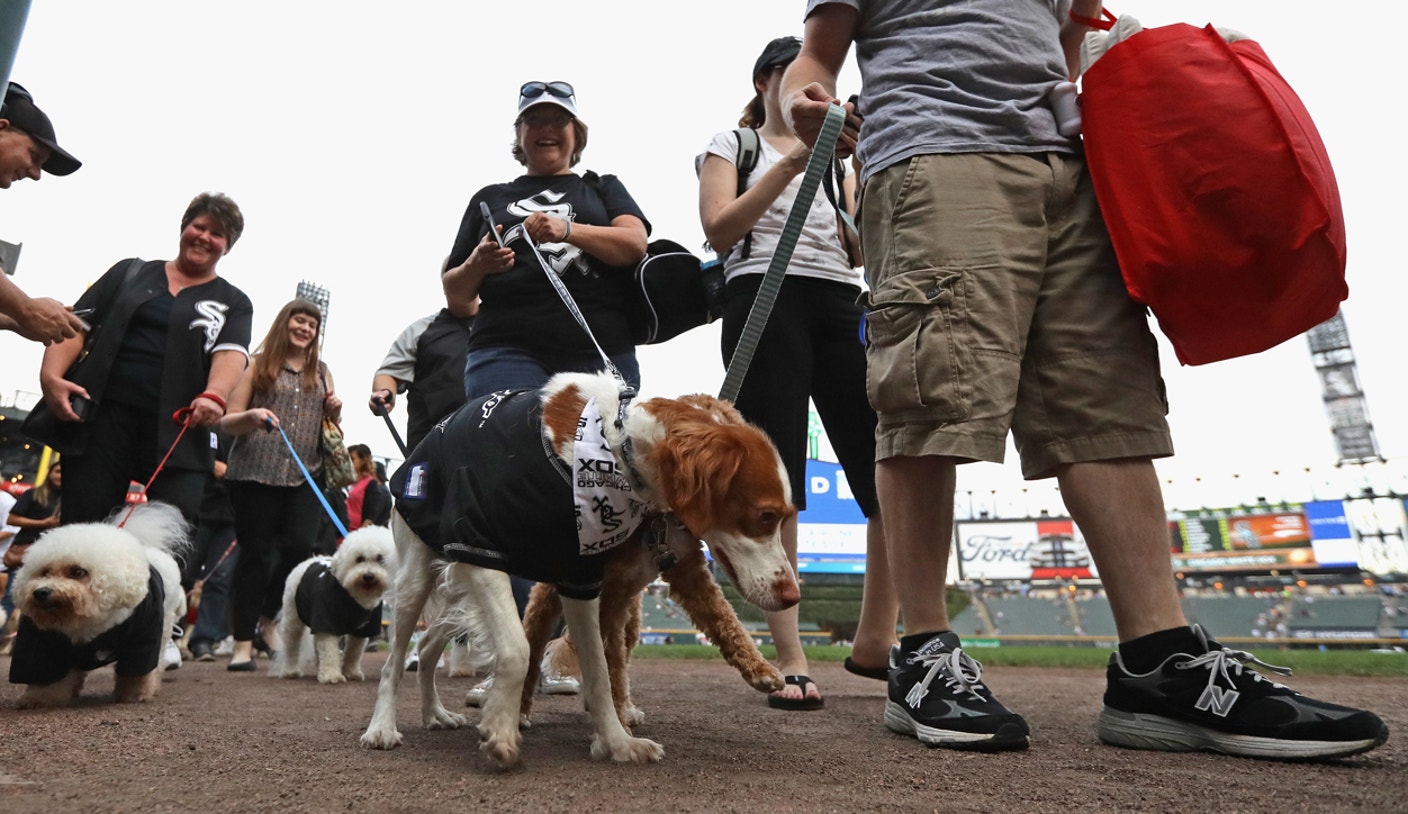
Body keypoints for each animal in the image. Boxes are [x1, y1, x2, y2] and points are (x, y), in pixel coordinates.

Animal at [6, 501, 190, 704]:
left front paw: (134, 694)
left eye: (78, 572)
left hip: (164, 626)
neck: (87, 622)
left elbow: (137, 672)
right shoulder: (41, 642)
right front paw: (40, 698)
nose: (41, 592)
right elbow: (45, 674)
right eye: (44, 572)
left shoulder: (144, 637)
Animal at [273, 523, 397, 681]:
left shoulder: (364, 628)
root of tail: (310, 560)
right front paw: (332, 676)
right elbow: (329, 651)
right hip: (293, 618)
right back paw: (290, 671)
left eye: (380, 559)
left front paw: (351, 672)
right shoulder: (325, 621)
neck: (353, 596)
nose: (368, 576)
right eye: (359, 558)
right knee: (292, 645)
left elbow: (354, 652)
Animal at [360, 371, 805, 766]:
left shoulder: (580, 579)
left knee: (427, 645)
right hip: (417, 573)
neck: (614, 451)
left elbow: (600, 669)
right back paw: (382, 727)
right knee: (394, 660)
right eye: (766, 516)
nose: (793, 595)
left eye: (782, 516)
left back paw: (434, 713)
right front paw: (500, 731)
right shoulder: (478, 550)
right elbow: (518, 650)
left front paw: (617, 742)